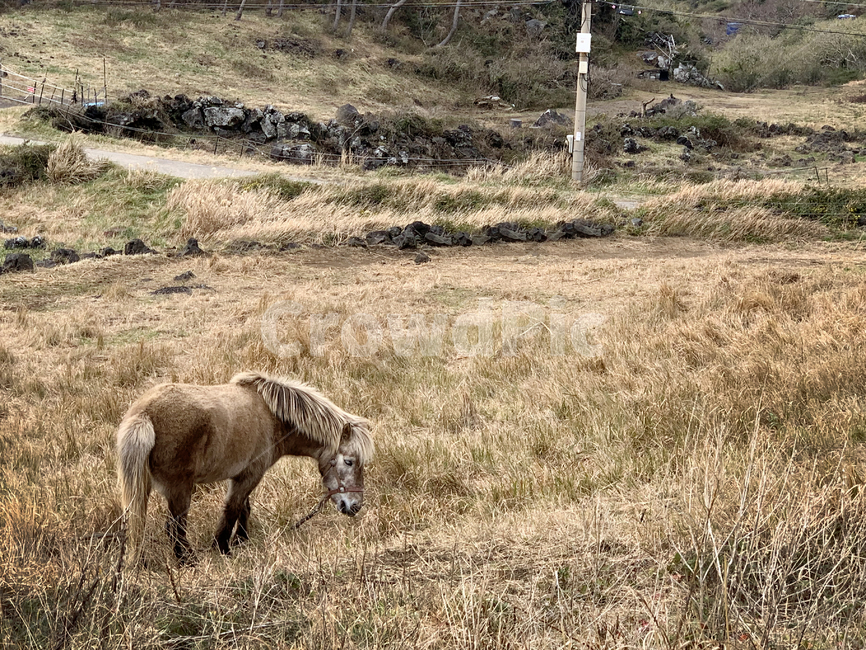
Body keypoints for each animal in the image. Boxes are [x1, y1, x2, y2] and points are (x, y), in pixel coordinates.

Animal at [116, 371, 373, 563]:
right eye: (349, 461)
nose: (355, 506)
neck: (272, 416)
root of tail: (145, 413)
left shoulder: (243, 475)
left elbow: (243, 508)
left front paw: (241, 540)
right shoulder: (251, 475)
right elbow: (232, 509)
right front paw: (223, 548)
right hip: (180, 489)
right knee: (175, 528)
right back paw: (187, 561)